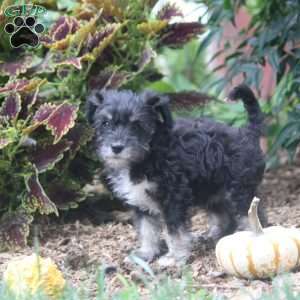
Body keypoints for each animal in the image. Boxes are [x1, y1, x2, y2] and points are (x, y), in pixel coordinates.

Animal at [86, 84, 264, 268]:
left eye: (137, 125)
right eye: (105, 123)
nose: (116, 147)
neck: (149, 152)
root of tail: (248, 133)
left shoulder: (174, 197)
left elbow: (174, 230)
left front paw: (175, 257)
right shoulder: (140, 200)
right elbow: (147, 229)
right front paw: (145, 253)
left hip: (239, 190)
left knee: (252, 215)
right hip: (212, 191)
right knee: (225, 215)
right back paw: (213, 236)